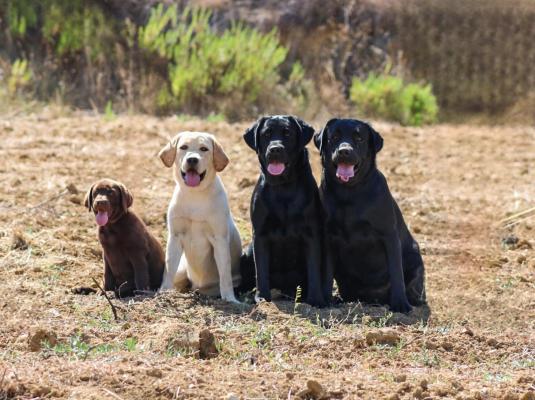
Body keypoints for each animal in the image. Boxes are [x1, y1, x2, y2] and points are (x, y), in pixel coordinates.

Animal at [242, 115, 326, 306]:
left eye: (287, 133)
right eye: (266, 134)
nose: (275, 149)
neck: (283, 187)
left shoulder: (311, 234)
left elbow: (314, 269)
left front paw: (316, 299)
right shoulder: (260, 234)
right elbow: (261, 270)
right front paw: (262, 298)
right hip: (247, 252)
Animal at [314, 119, 428, 312]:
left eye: (359, 138)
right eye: (334, 137)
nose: (344, 151)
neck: (349, 194)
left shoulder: (389, 236)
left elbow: (396, 273)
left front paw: (400, 304)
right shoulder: (328, 237)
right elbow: (326, 274)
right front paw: (325, 299)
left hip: (414, 256)